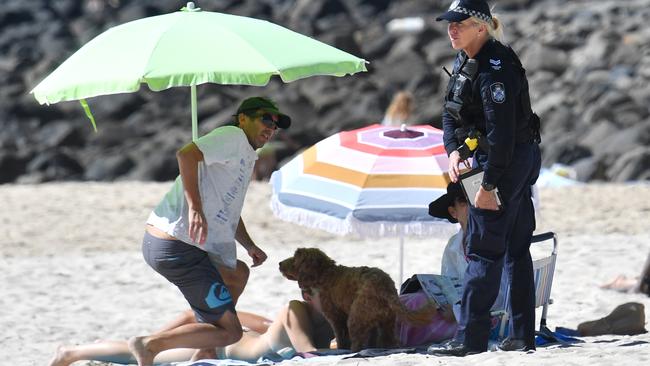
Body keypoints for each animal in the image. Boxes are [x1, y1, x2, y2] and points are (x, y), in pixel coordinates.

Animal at [278, 247, 436, 350]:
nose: (279, 263)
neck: (324, 273)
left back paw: (354, 351)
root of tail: (384, 285)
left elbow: (341, 336)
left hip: (355, 317)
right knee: (389, 338)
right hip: (387, 320)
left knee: (357, 340)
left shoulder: (335, 316)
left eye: (295, 257)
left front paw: (341, 348)